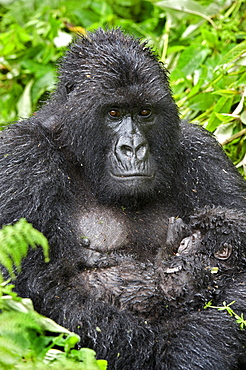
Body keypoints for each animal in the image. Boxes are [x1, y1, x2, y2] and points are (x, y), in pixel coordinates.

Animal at [0, 28, 246, 368]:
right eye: (113, 113)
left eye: (145, 112)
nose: (134, 148)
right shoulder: (22, 155)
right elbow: (36, 290)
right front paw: (196, 342)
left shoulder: (204, 152)